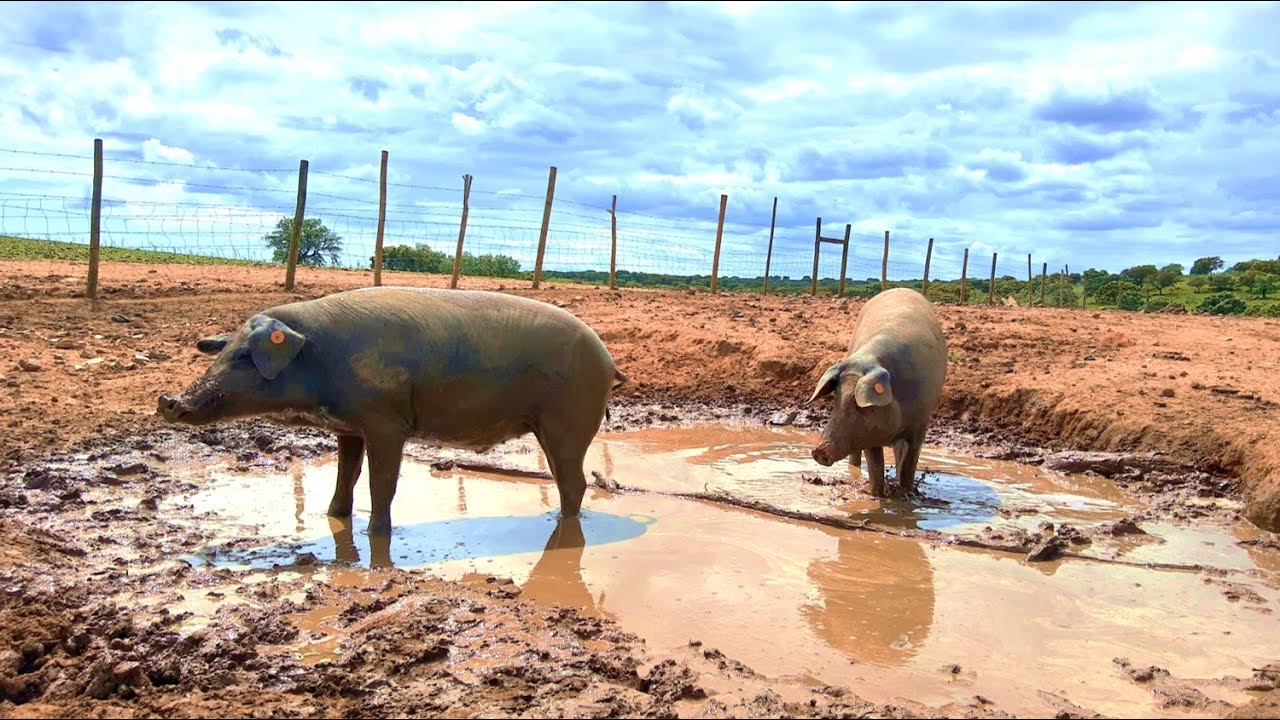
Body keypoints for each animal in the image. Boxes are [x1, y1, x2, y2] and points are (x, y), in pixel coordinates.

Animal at [157, 286, 627, 535]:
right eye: (225, 352)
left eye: (244, 357)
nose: (169, 402)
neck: (321, 357)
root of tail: (609, 360)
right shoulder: (347, 427)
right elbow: (345, 477)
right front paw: (334, 519)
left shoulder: (386, 422)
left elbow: (381, 484)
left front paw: (375, 534)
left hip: (568, 422)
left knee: (575, 482)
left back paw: (563, 526)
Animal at [805, 287, 947, 497]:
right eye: (836, 399)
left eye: (859, 405)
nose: (819, 451)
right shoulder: (868, 433)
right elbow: (875, 466)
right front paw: (876, 494)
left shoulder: (920, 422)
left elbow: (910, 463)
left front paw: (908, 494)